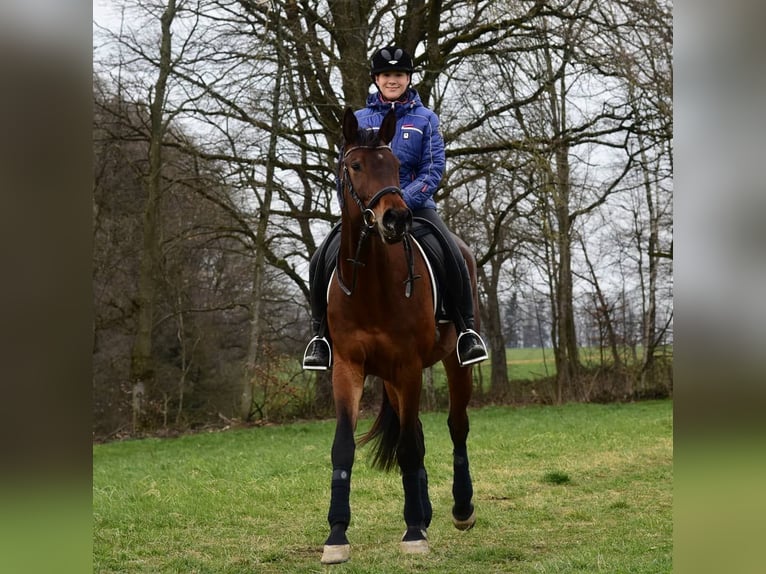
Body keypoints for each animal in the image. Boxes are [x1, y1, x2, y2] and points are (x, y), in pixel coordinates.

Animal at [320, 108, 476, 568]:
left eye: (392, 165)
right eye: (354, 165)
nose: (395, 219)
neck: (372, 284)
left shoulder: (408, 366)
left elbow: (409, 448)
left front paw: (412, 534)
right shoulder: (349, 368)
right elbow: (344, 447)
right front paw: (336, 535)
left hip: (453, 364)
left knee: (456, 427)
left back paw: (461, 509)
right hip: (390, 377)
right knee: (419, 433)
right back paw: (424, 514)